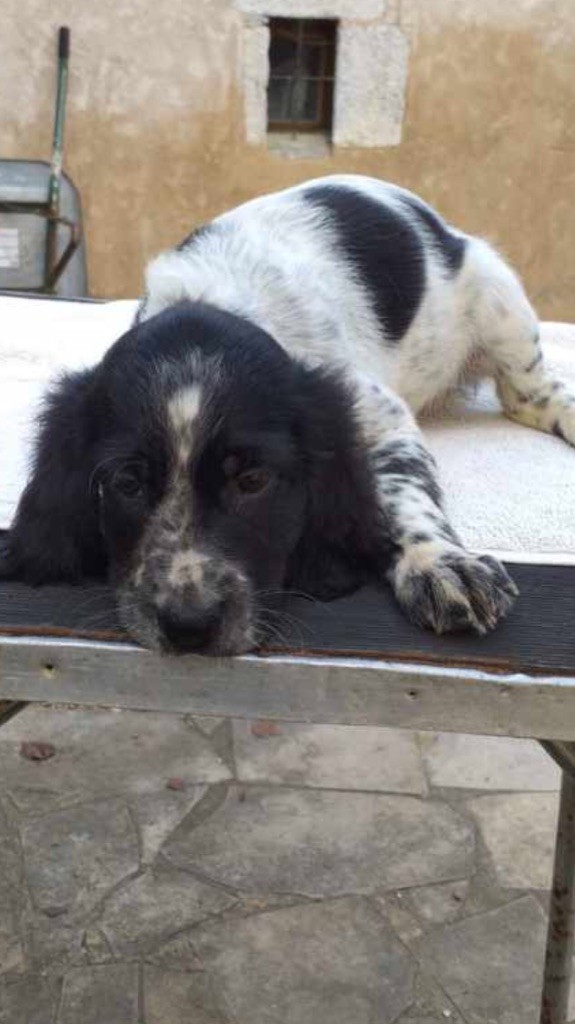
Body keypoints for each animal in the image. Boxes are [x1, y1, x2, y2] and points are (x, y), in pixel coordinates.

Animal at [2, 175, 573, 654]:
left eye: (254, 480)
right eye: (126, 482)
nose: (188, 627)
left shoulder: (375, 412)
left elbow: (402, 490)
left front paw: (440, 562)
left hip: (497, 298)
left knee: (530, 394)